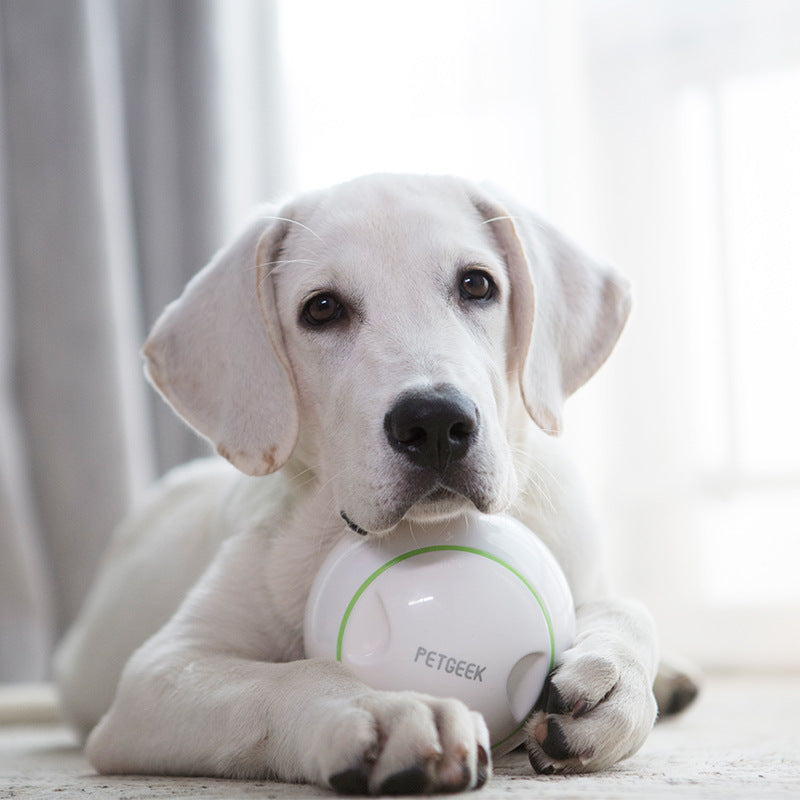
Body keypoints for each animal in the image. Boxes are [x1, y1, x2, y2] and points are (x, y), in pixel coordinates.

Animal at [54, 175, 692, 792]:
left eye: (477, 284)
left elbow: (631, 607)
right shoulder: (158, 675)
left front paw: (615, 682)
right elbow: (293, 676)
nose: (434, 423)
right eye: (322, 308)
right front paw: (380, 708)